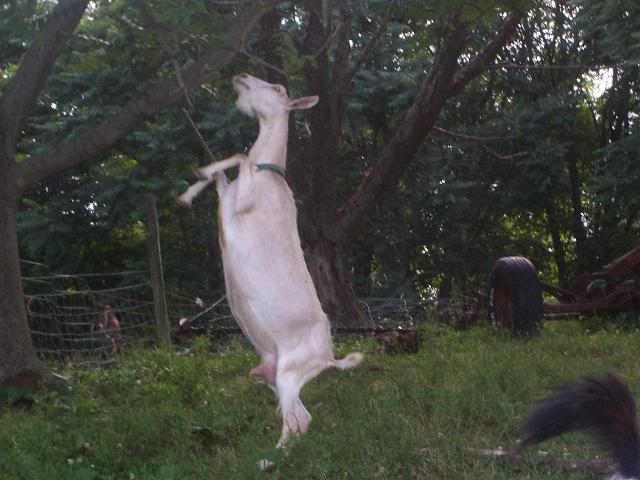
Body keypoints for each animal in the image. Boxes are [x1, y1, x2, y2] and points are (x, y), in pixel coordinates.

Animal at [177, 74, 363, 447]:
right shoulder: (228, 198)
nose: (241, 77)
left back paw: (272, 455)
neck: (270, 173)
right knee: (300, 417)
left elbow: (239, 157)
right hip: (272, 374)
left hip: (291, 371)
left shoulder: (244, 202)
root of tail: (329, 358)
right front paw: (189, 191)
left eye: (278, 89)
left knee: (298, 420)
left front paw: (202, 169)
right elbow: (222, 175)